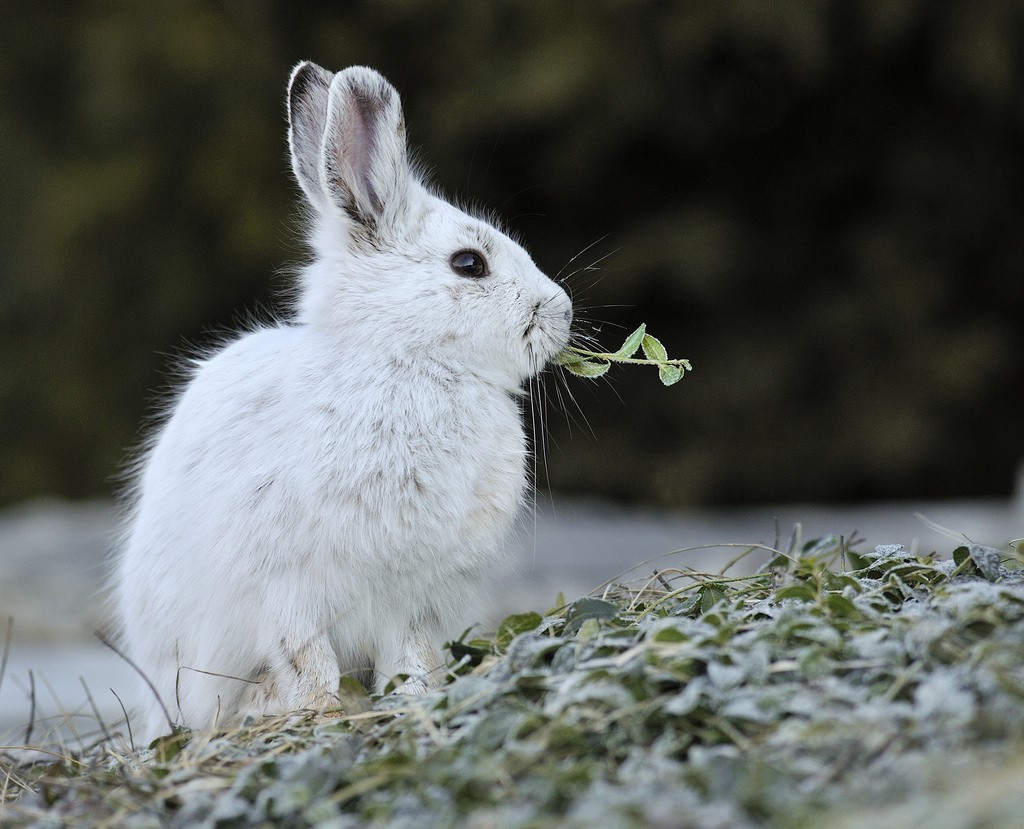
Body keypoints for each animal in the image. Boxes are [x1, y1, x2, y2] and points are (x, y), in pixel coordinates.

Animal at [116, 62, 577, 736]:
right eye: (470, 264)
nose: (562, 314)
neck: (408, 361)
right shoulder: (287, 591)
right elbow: (306, 660)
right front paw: (323, 711)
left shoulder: (412, 599)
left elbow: (411, 657)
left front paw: (416, 698)